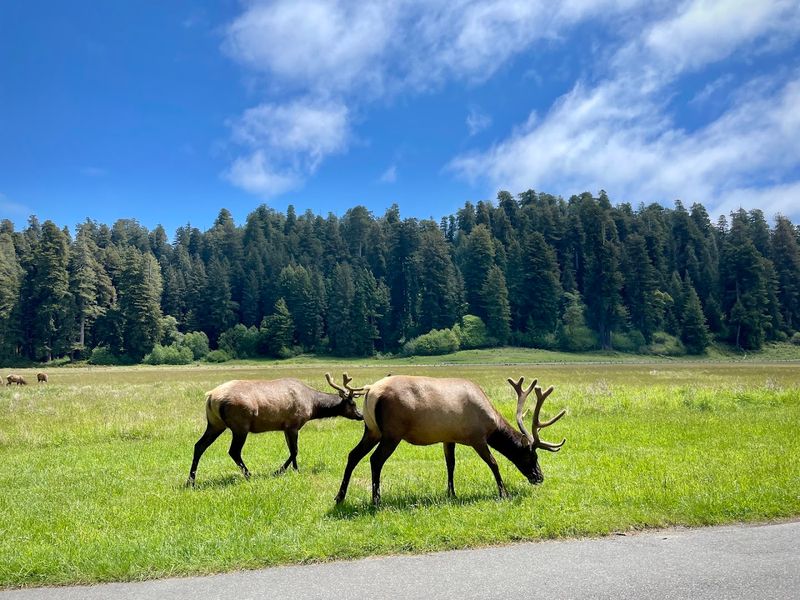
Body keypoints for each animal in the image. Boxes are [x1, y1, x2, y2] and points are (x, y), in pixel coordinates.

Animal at [186, 373, 365, 486]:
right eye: (353, 403)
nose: (361, 415)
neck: (313, 406)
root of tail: (211, 397)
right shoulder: (293, 424)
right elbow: (295, 450)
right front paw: (281, 471)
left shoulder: (285, 427)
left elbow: (292, 450)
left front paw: (292, 470)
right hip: (240, 425)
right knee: (233, 451)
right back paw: (249, 475)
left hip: (215, 423)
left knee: (199, 445)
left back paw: (191, 481)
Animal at [334, 375, 566, 506]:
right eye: (531, 456)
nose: (539, 477)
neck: (491, 422)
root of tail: (370, 391)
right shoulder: (477, 437)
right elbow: (493, 463)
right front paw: (504, 493)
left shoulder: (448, 437)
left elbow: (450, 464)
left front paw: (451, 494)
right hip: (392, 433)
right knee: (375, 460)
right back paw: (376, 500)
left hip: (372, 429)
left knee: (353, 455)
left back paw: (340, 498)